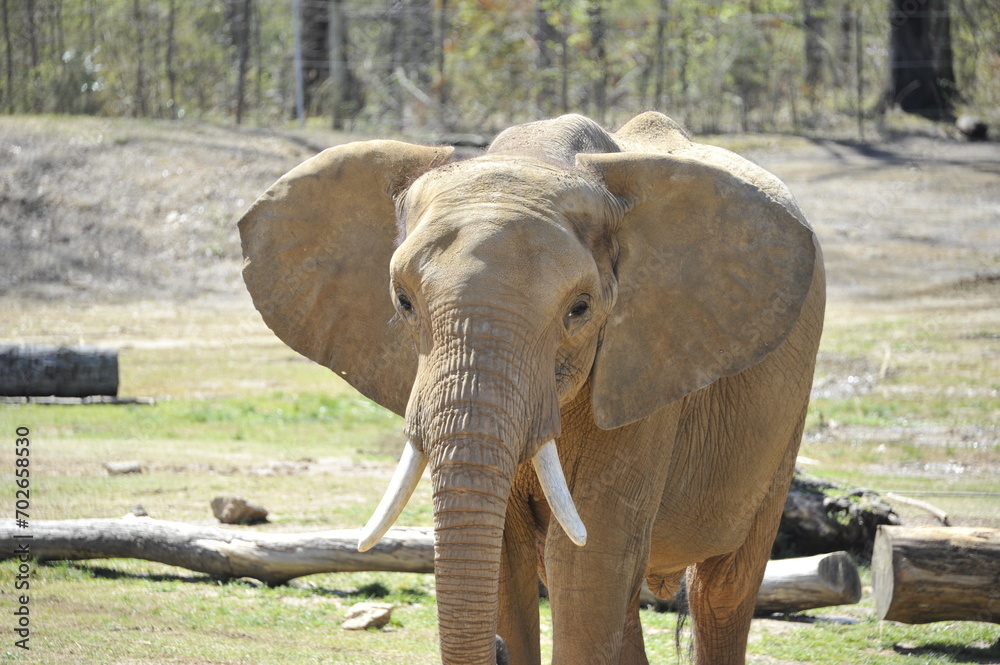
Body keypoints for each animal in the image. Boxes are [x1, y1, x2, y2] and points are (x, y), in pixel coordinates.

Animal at [238, 111, 824, 660]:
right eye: (403, 302)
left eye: (579, 310)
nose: (493, 651)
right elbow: (507, 552)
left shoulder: (646, 368)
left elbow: (589, 556)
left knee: (720, 593)